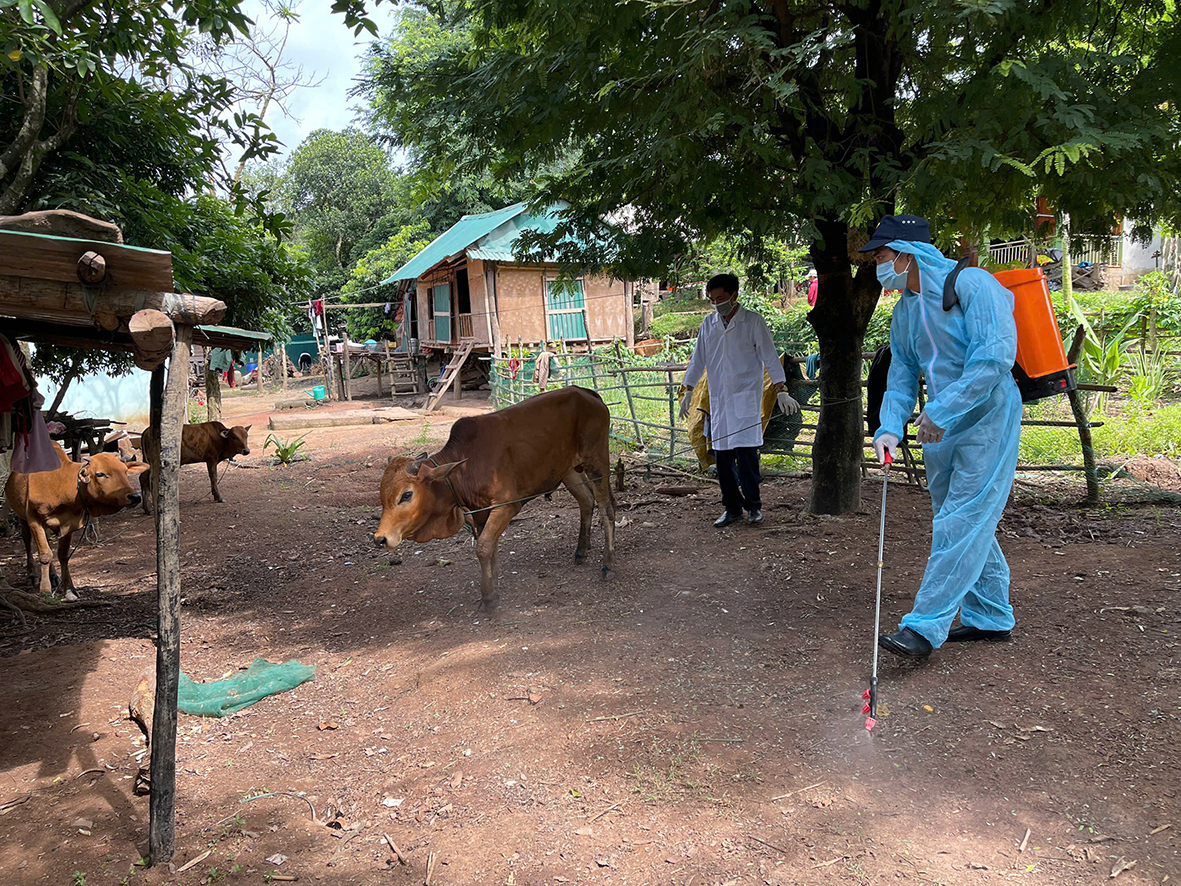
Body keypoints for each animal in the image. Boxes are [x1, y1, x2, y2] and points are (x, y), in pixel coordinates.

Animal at [4, 441, 149, 597]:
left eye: (125, 471)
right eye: (100, 474)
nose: (135, 496)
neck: (60, 484)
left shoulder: (68, 523)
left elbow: (63, 555)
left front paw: (69, 588)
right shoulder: (34, 519)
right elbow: (45, 555)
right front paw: (45, 589)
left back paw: (53, 576)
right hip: (21, 516)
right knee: (27, 540)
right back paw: (32, 575)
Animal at [375, 387, 618, 609]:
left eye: (407, 494)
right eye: (382, 494)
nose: (380, 539)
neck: (465, 466)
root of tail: (587, 393)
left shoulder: (507, 505)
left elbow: (483, 547)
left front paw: (489, 598)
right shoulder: (481, 513)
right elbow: (490, 549)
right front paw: (493, 588)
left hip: (597, 462)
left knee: (607, 509)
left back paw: (607, 564)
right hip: (568, 470)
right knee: (586, 501)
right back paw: (581, 551)